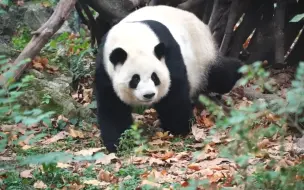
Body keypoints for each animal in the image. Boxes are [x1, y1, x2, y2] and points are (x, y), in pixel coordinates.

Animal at [94, 4, 242, 153]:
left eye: (154, 77)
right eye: (135, 79)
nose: (149, 95)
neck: (133, 39)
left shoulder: (169, 53)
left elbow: (174, 94)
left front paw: (179, 126)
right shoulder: (105, 68)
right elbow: (112, 105)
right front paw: (119, 141)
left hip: (201, 52)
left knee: (218, 75)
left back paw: (239, 69)